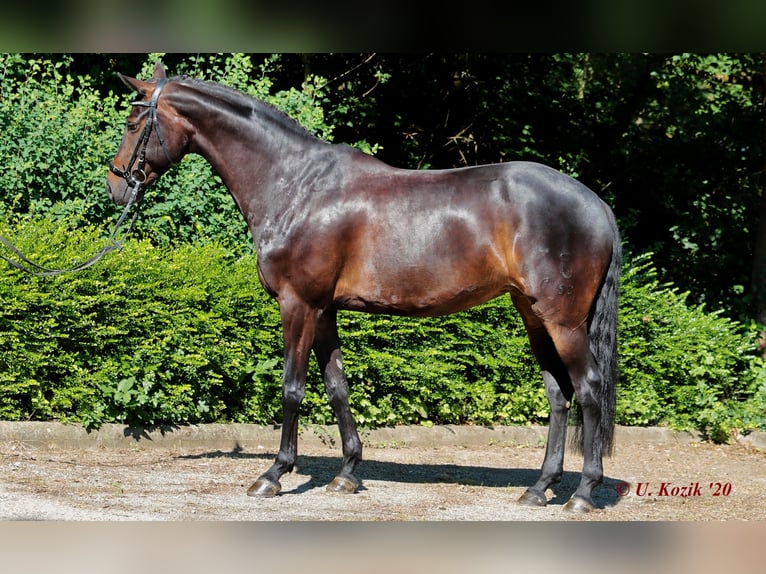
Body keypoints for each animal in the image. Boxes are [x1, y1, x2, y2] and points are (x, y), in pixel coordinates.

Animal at [106, 62, 624, 512]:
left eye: (133, 123)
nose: (117, 187)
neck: (297, 185)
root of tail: (596, 203)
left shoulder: (298, 305)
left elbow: (292, 388)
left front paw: (273, 474)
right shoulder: (324, 310)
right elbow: (337, 386)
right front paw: (348, 473)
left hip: (564, 322)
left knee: (588, 389)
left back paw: (582, 493)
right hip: (533, 316)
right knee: (558, 394)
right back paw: (539, 488)